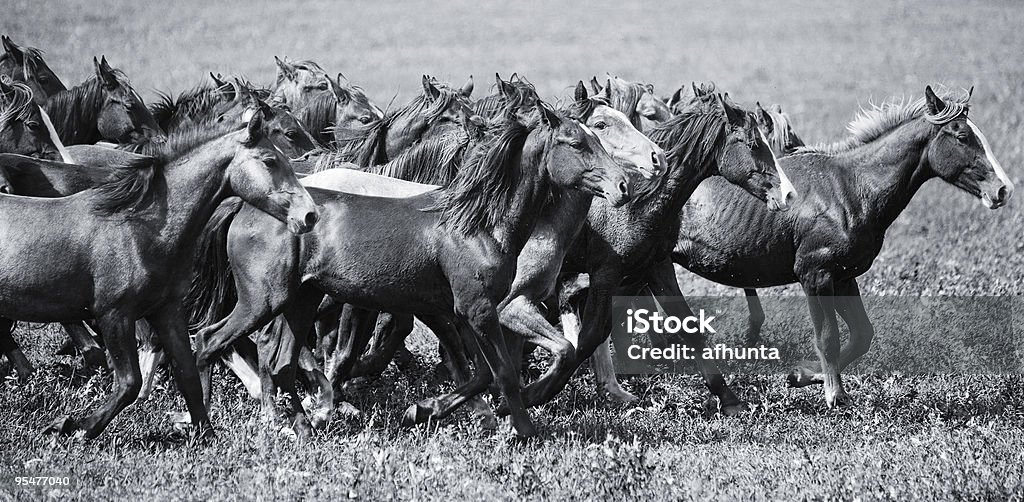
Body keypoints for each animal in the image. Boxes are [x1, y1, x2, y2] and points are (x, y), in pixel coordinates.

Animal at [667, 86, 1011, 407]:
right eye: (962, 136)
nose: (1003, 189)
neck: (850, 190)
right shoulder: (814, 274)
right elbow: (827, 337)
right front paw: (835, 394)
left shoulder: (844, 276)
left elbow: (862, 334)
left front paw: (803, 374)